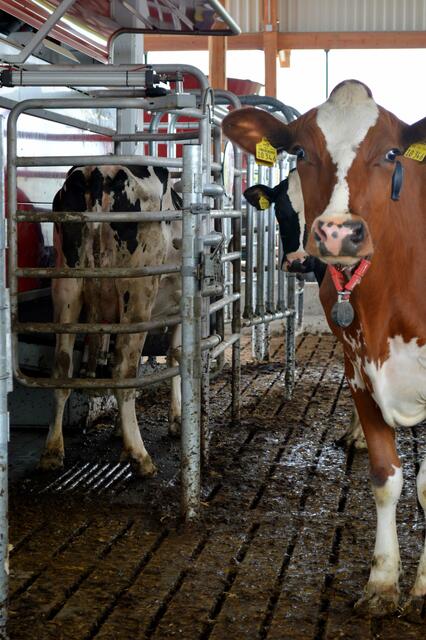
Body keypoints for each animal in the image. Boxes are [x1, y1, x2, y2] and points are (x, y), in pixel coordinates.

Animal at [39, 164, 182, 478]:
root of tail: (99, 172)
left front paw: (119, 430)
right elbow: (174, 359)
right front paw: (177, 420)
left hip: (67, 288)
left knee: (62, 367)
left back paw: (52, 451)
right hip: (138, 292)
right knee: (122, 371)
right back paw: (140, 456)